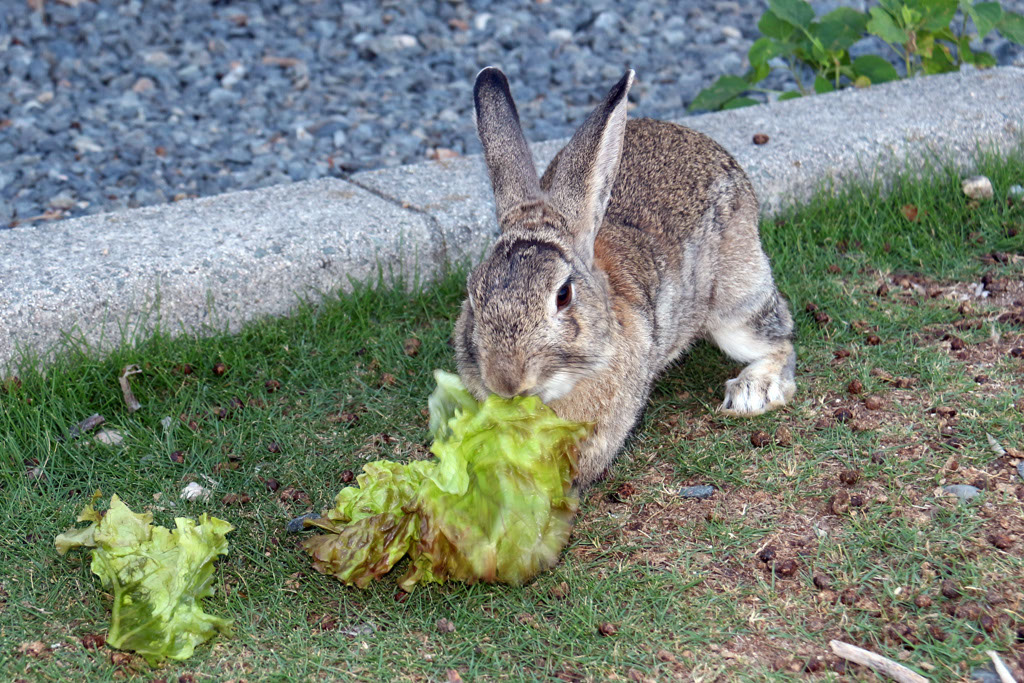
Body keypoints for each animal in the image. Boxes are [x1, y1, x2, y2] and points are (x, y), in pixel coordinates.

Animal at [454, 67, 796, 487]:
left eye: (563, 295)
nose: (507, 383)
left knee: (780, 340)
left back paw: (752, 392)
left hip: (736, 304)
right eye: (473, 296)